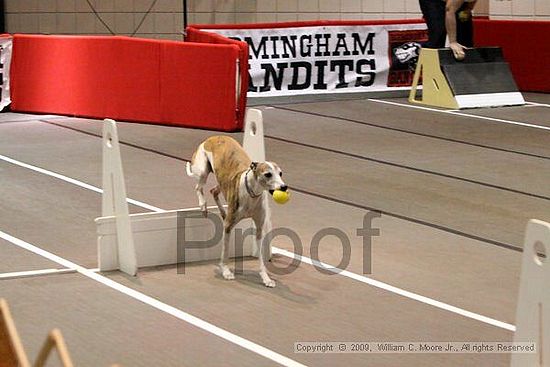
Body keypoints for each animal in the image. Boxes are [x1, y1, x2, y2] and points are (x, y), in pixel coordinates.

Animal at [187, 137, 288, 288]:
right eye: (268, 174)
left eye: (280, 173)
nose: (284, 187)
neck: (251, 192)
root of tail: (214, 137)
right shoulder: (228, 226)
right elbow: (225, 250)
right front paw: (226, 271)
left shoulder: (259, 228)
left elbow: (261, 258)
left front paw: (266, 278)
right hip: (202, 171)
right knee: (198, 187)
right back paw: (203, 205)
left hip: (222, 183)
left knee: (213, 191)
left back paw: (222, 210)